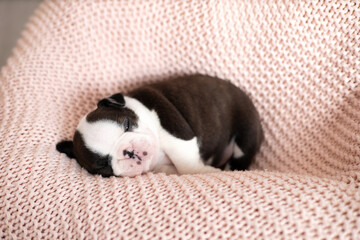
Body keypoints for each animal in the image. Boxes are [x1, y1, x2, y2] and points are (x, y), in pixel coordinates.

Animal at [57, 74, 264, 177]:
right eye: (103, 165)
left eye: (127, 125)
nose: (128, 151)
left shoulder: (177, 134)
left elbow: (187, 165)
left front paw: (205, 171)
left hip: (245, 136)